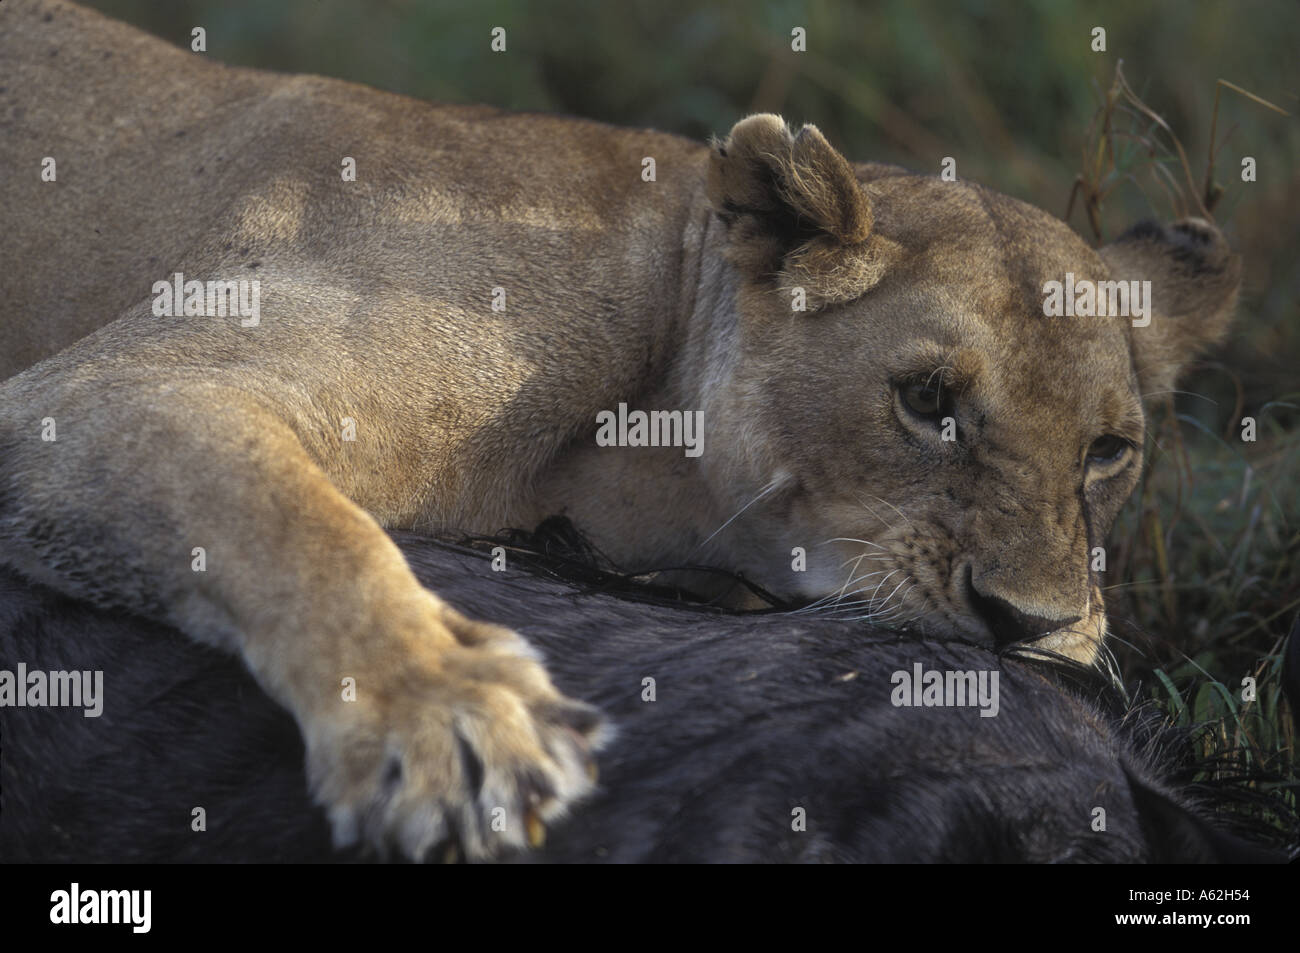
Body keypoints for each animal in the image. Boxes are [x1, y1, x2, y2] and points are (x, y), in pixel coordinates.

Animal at [0, 0, 1240, 860]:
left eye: (1108, 453)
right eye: (926, 400)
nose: (1032, 625)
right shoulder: (96, 394)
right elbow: (301, 527)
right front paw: (450, 716)